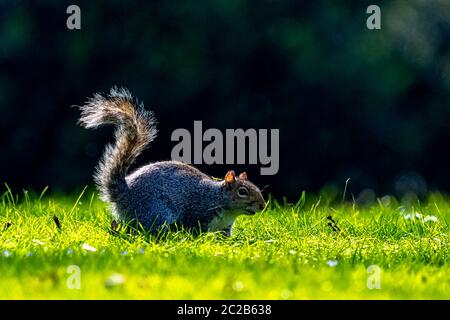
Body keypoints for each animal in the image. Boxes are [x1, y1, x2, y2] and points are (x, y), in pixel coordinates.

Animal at [78, 87, 266, 235]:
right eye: (242, 191)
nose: (263, 206)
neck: (219, 199)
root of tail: (124, 193)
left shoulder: (225, 228)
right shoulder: (197, 213)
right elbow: (196, 231)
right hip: (157, 211)